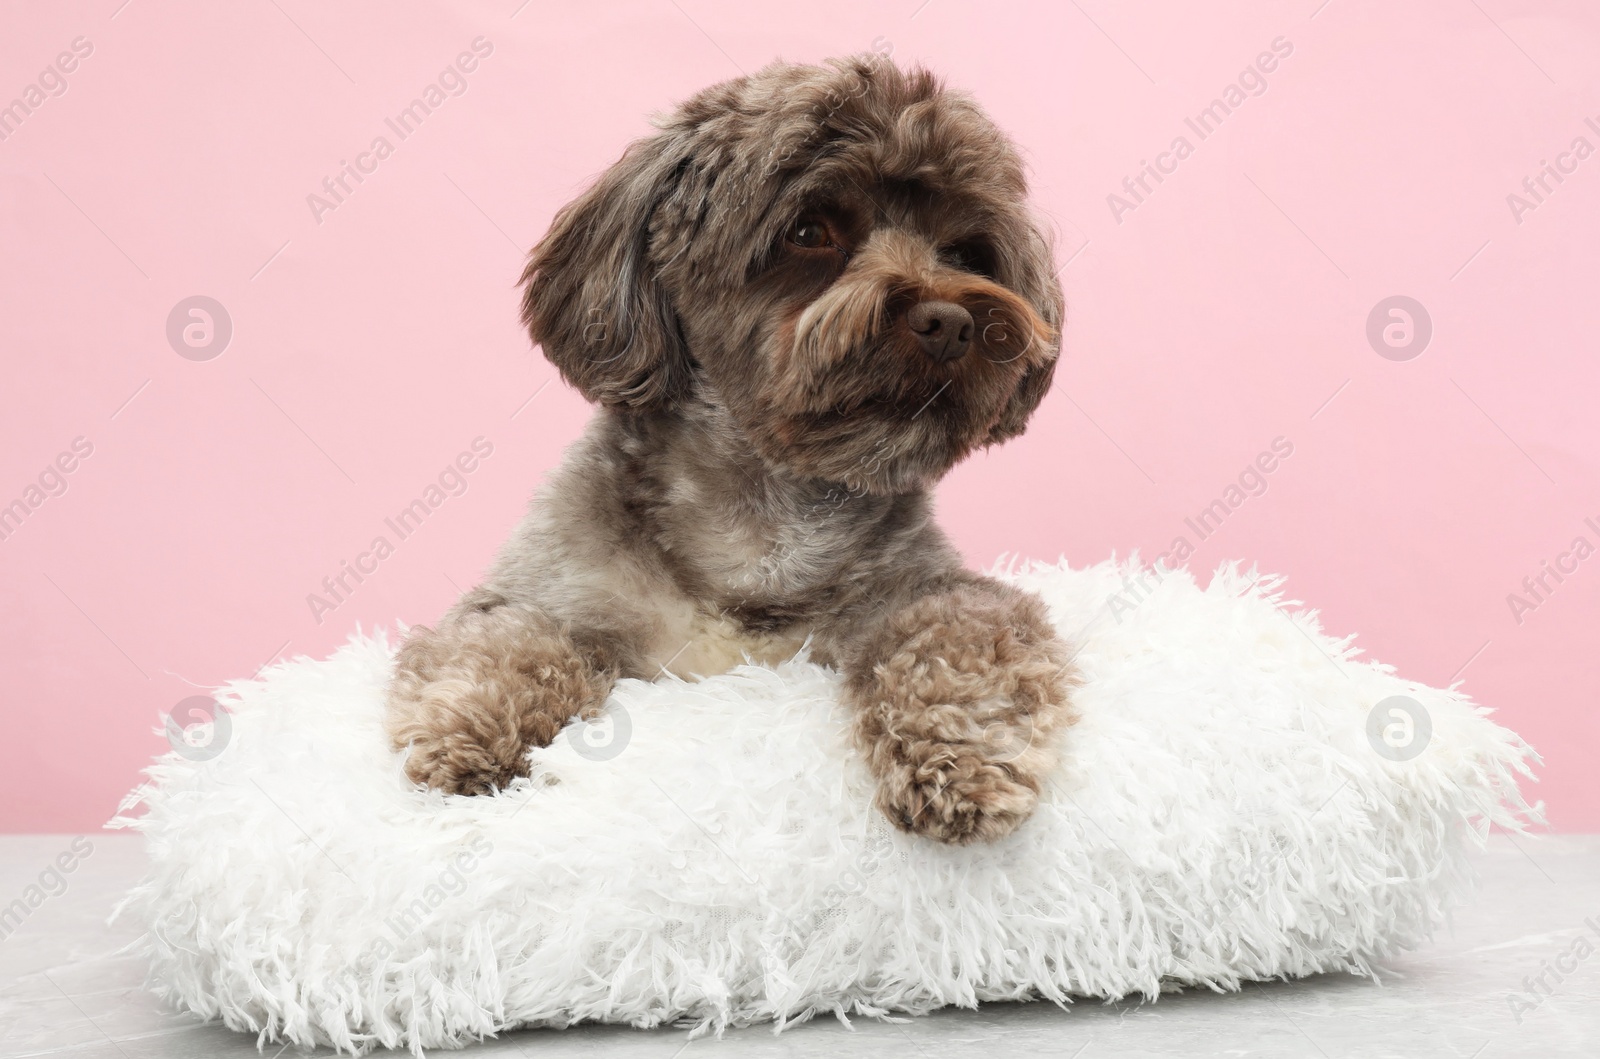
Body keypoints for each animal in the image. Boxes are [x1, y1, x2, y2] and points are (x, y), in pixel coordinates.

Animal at [387, 53, 1075, 851]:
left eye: (965, 250)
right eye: (809, 230)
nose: (953, 321)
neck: (763, 525)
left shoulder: (932, 591)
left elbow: (960, 639)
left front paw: (960, 751)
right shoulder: (545, 589)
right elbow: (507, 639)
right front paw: (469, 727)